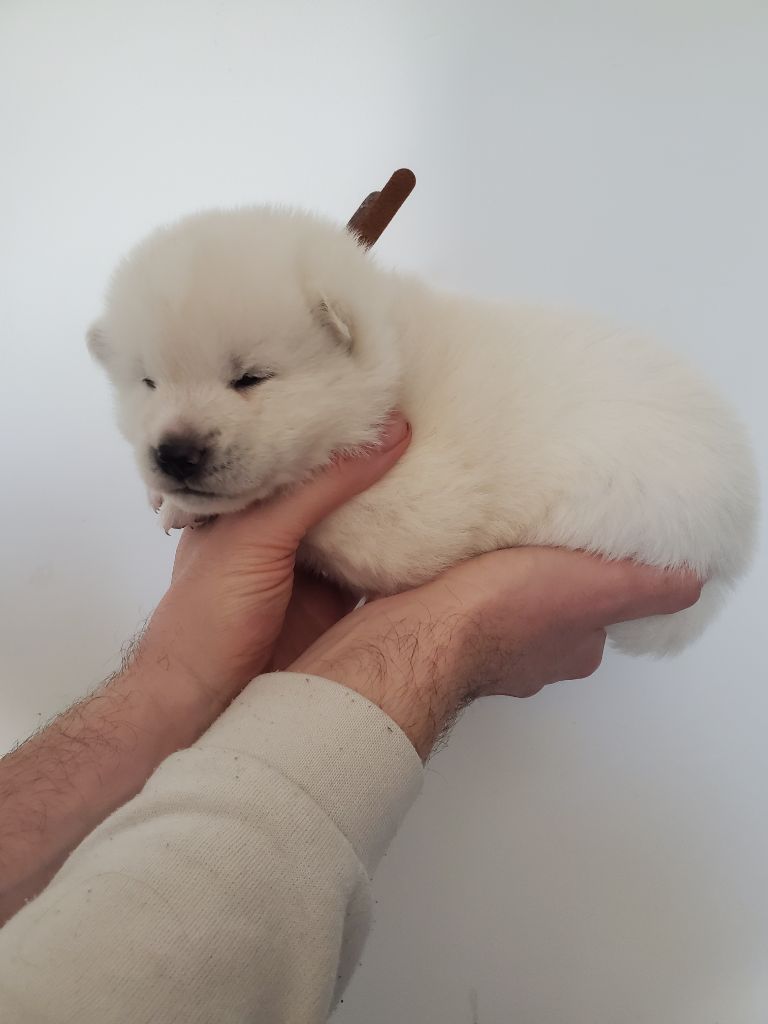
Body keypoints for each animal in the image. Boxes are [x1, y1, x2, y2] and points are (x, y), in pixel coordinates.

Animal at [87, 206, 758, 656]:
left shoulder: (412, 513)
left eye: (251, 378)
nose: (174, 454)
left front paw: (184, 506)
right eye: (147, 382)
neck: (391, 375)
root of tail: (738, 536)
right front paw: (167, 497)